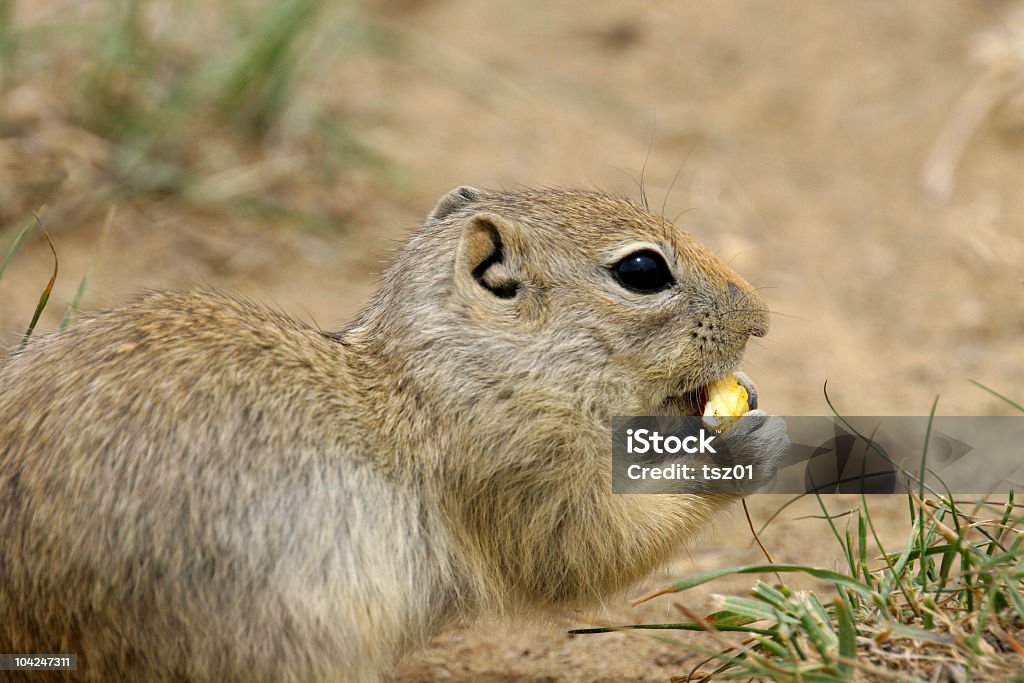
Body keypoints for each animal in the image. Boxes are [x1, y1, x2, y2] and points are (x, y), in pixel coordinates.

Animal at [0, 184, 786, 679]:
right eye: (643, 269)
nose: (761, 318)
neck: (442, 370)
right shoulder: (521, 469)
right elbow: (586, 552)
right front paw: (746, 444)